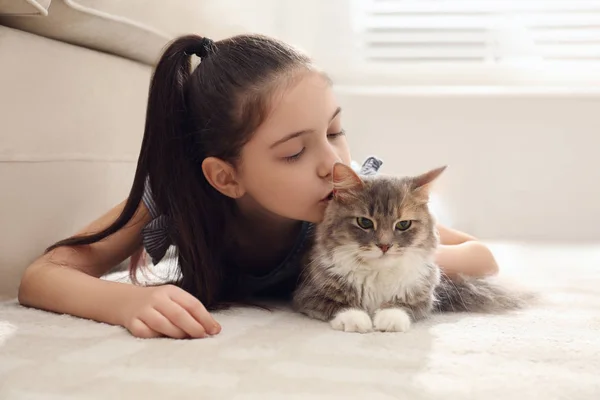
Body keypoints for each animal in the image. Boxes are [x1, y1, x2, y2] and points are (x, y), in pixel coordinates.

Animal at [292, 161, 532, 332]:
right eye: (364, 222)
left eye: (403, 224)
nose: (385, 245)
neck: (377, 274)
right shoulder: (308, 293)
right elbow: (339, 305)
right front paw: (356, 319)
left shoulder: (422, 297)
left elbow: (401, 306)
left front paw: (389, 319)